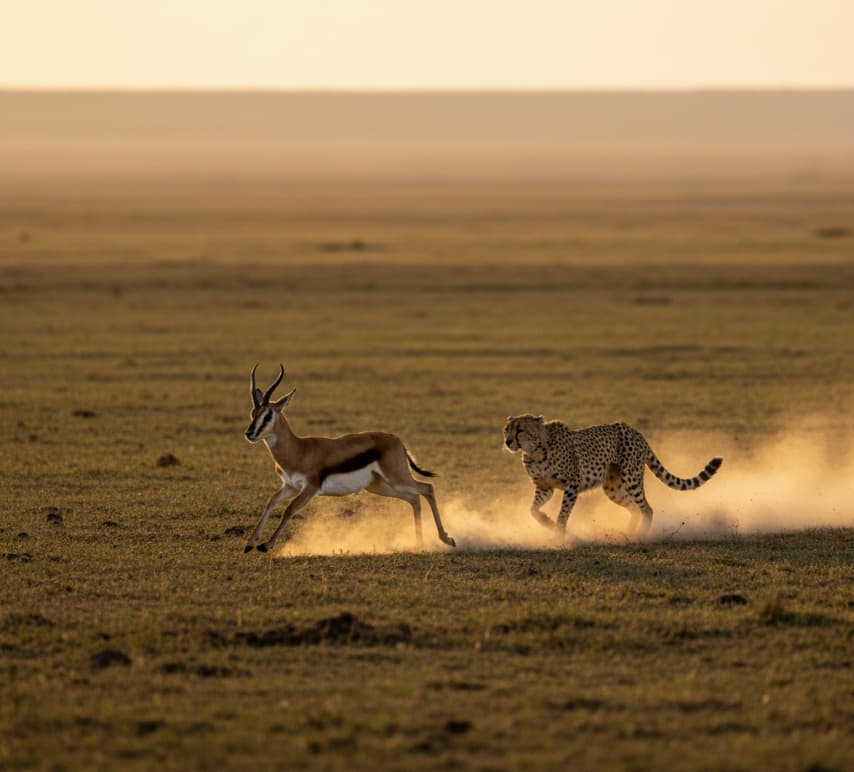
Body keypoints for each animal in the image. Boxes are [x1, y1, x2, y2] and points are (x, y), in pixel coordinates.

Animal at [243, 364, 456, 553]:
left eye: (268, 415)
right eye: (253, 413)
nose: (249, 433)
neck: (299, 450)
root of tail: (396, 440)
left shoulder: (310, 488)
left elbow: (289, 509)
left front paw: (266, 546)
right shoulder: (290, 486)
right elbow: (271, 501)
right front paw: (249, 544)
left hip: (397, 479)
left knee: (427, 488)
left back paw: (446, 539)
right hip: (380, 486)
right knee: (414, 498)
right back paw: (419, 543)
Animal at [503, 414, 722, 538]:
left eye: (520, 429)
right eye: (507, 430)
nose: (507, 441)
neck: (535, 451)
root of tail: (634, 430)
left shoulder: (573, 485)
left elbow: (564, 513)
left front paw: (558, 532)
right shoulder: (544, 488)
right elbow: (532, 510)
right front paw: (546, 522)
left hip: (631, 477)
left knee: (647, 509)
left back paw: (640, 535)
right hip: (613, 488)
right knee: (635, 508)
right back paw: (627, 533)